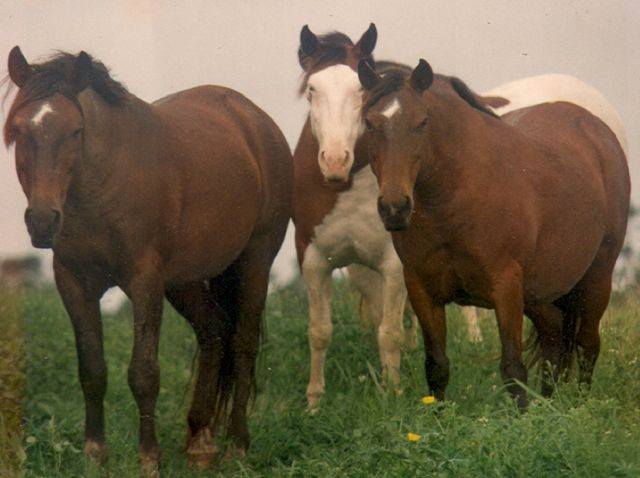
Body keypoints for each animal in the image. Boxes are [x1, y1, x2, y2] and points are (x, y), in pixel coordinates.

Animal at [2, 46, 292, 472]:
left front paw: (149, 458)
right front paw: (94, 455)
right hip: (184, 281)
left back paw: (238, 445)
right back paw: (199, 440)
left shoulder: (144, 281)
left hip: (255, 259)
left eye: (75, 130)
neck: (102, 188)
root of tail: (256, 122)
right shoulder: (73, 282)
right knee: (213, 331)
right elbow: (92, 370)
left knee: (243, 342)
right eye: (20, 130)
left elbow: (143, 373)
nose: (42, 220)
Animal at [292, 25, 480, 410]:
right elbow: (320, 331)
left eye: (359, 91)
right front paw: (314, 402)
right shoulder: (314, 258)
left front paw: (392, 396)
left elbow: (389, 333)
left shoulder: (395, 263)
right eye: (313, 89)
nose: (335, 159)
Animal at [358, 59, 632, 408]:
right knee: (554, 341)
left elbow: (513, 370)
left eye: (422, 122)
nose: (395, 207)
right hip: (541, 294)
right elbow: (436, 366)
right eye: (370, 123)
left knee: (587, 345)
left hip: (596, 278)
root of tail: (596, 130)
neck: (452, 202)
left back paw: (578, 408)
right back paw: (550, 406)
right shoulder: (421, 289)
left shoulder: (505, 287)